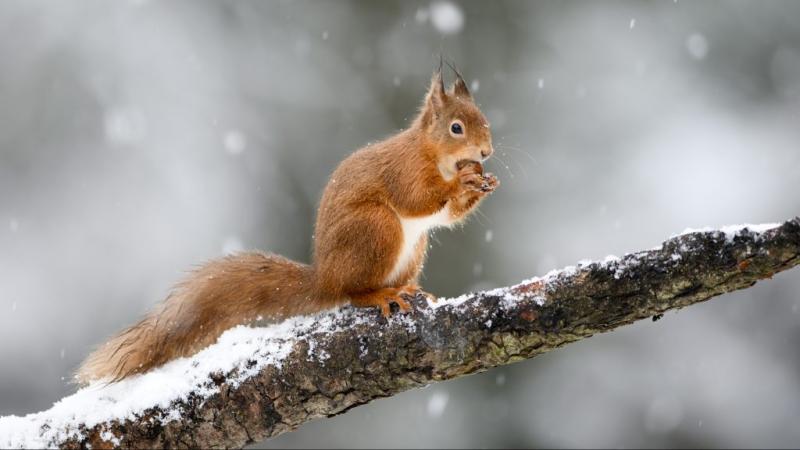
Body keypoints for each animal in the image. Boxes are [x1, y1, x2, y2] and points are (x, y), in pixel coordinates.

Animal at [76, 67, 500, 384]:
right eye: (457, 128)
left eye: (486, 122)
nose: (486, 152)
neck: (436, 155)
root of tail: (325, 278)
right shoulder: (404, 171)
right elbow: (419, 199)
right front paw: (462, 183)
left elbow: (447, 216)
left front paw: (484, 183)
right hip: (377, 229)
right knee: (353, 292)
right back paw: (381, 294)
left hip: (413, 248)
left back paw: (408, 288)